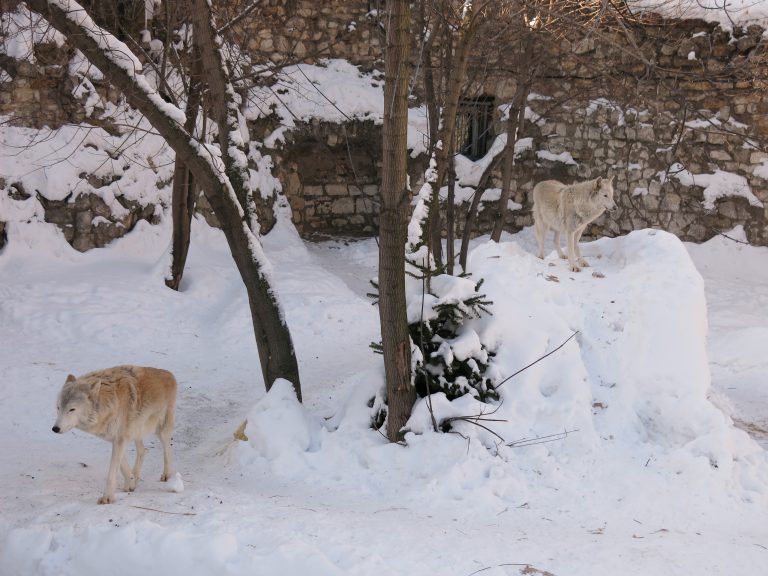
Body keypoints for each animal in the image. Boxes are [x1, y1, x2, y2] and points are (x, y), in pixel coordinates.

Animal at [52, 364, 177, 504]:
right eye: (58, 407)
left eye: (72, 409)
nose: (55, 428)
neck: (109, 402)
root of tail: (169, 374)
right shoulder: (116, 438)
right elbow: (123, 466)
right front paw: (131, 483)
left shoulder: (120, 439)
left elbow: (112, 472)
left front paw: (107, 497)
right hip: (136, 432)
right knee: (143, 451)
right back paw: (136, 476)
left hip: (161, 430)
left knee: (167, 450)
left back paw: (166, 475)